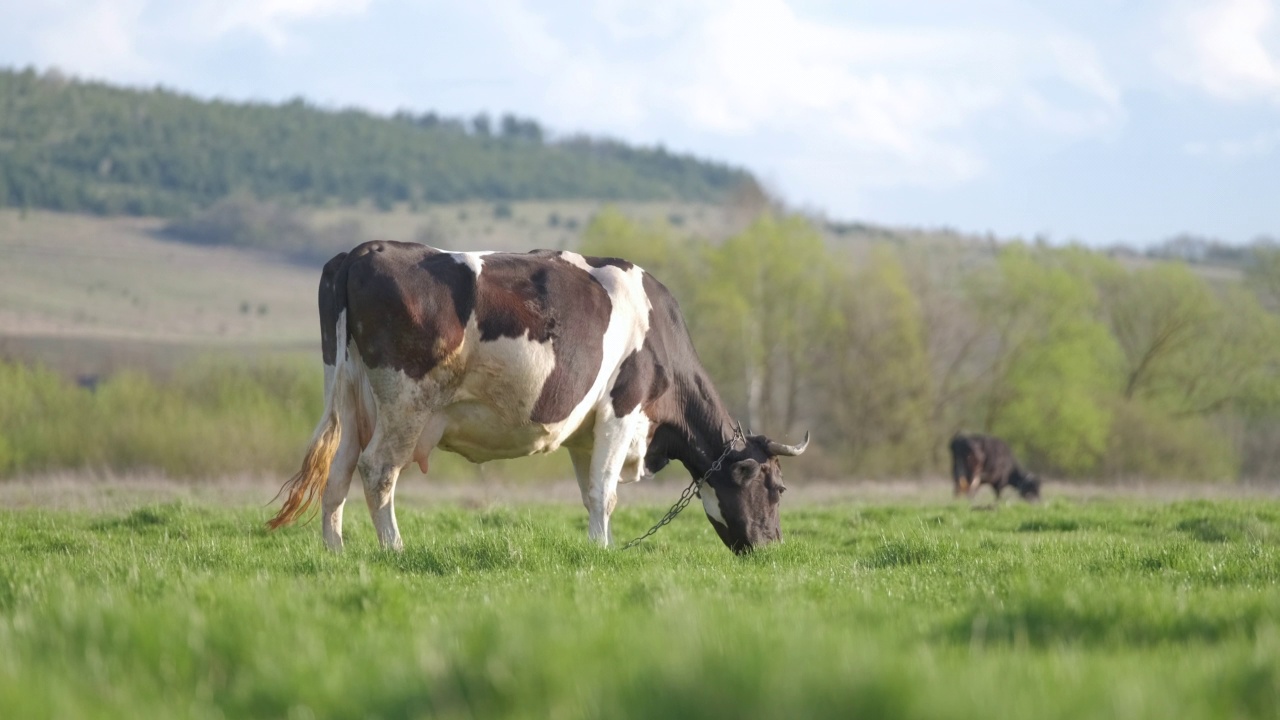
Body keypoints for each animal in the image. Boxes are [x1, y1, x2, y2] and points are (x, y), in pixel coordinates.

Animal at [267, 239, 808, 548]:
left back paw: (336, 553)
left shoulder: (586, 433)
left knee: (337, 473)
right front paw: (603, 552)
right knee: (378, 471)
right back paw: (394, 550)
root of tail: (363, 250)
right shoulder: (622, 409)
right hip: (405, 404)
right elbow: (605, 493)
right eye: (777, 488)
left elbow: (591, 494)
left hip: (350, 397)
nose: (773, 547)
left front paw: (595, 548)